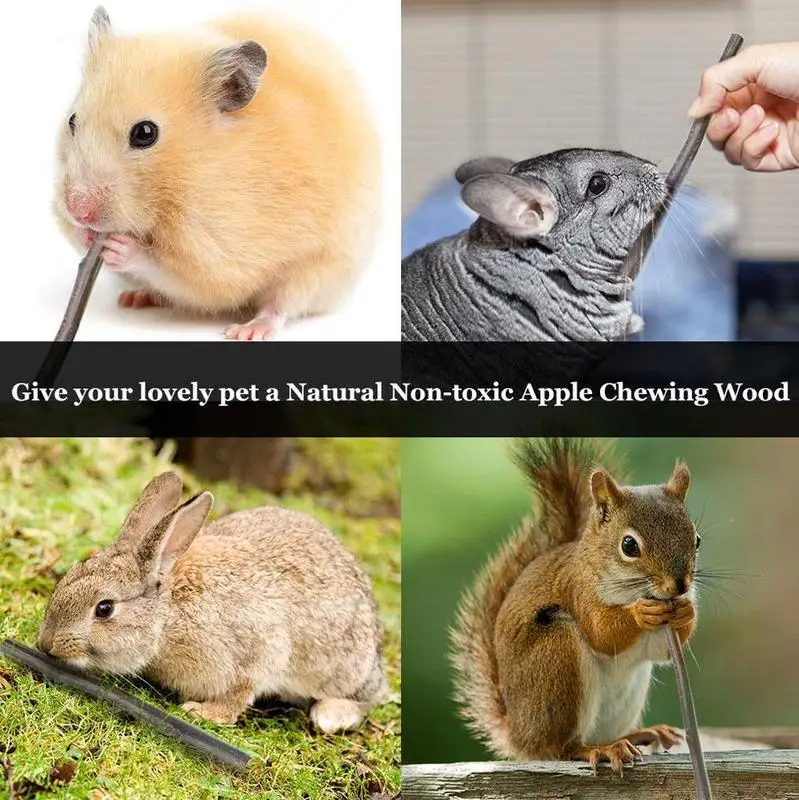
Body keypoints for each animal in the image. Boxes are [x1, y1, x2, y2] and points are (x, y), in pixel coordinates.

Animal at [38, 472, 386, 732]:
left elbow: (241, 691)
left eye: (105, 608)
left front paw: (203, 713)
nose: (46, 644)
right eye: (75, 570)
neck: (167, 618)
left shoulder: (260, 647)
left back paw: (331, 715)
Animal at [54, 7, 381, 340]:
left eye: (145, 133)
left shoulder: (222, 252)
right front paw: (84, 235)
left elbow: (187, 274)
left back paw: (248, 331)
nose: (78, 210)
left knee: (283, 303)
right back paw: (135, 298)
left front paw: (118, 247)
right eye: (72, 120)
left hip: (324, 265)